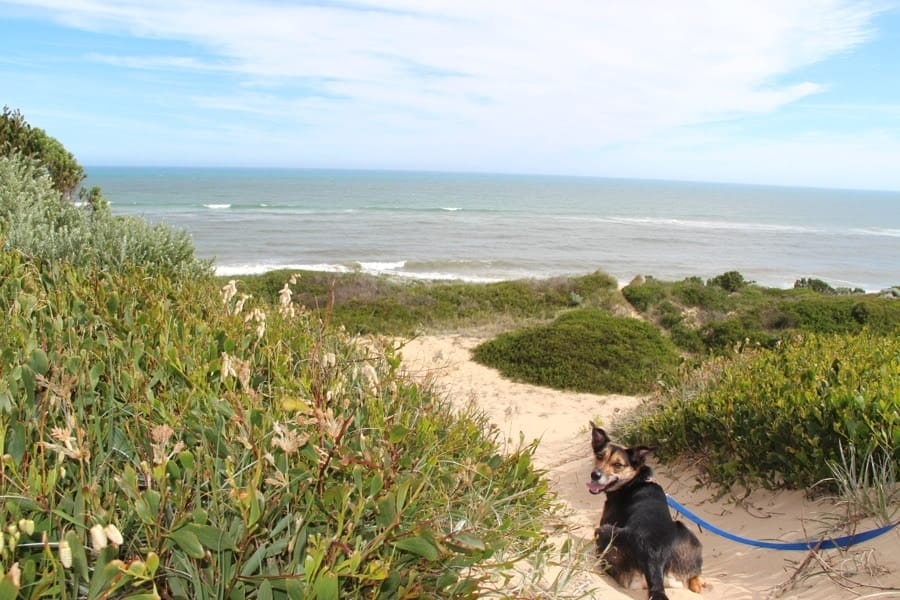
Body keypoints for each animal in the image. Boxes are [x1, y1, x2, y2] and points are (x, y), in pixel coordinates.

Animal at [588, 424, 708, 596]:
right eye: (599, 456)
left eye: (618, 465)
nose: (595, 475)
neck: (634, 480)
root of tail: (653, 556)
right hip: (687, 535)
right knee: (694, 577)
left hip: (604, 531)